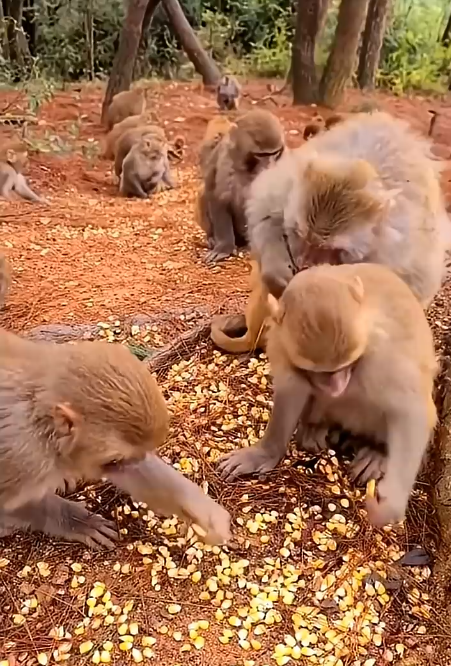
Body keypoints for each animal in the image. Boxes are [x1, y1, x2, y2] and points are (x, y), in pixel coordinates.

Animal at [200, 109, 285, 264]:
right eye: (261, 154)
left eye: (275, 153)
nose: (269, 166)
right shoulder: (225, 160)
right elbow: (218, 197)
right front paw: (224, 247)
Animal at [217, 263, 437, 529]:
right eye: (322, 372)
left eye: (346, 365)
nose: (336, 386)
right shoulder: (281, 341)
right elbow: (291, 389)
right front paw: (265, 452)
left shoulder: (381, 352)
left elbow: (411, 410)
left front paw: (391, 503)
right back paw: (316, 427)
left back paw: (377, 451)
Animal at [246, 111, 451, 306]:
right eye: (301, 236)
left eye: (332, 249)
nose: (305, 264)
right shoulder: (285, 187)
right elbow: (264, 215)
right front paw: (278, 274)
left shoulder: (397, 249)